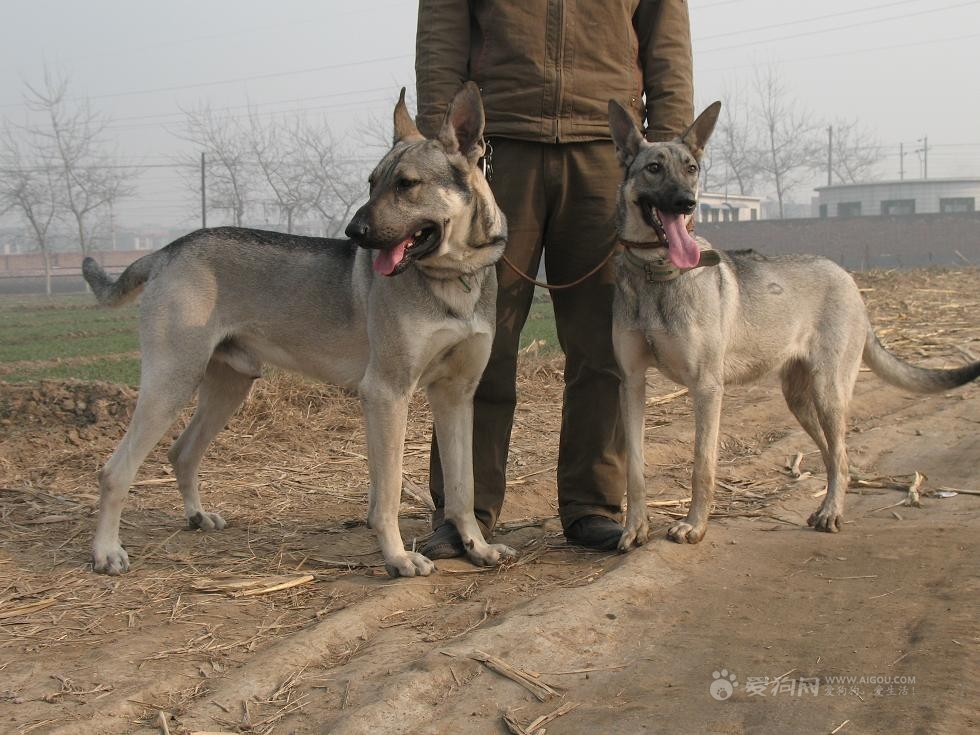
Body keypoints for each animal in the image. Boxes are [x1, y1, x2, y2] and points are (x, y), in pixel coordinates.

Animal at [80, 83, 516, 576]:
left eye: (406, 185)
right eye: (372, 183)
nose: (354, 231)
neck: (453, 280)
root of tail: (166, 250)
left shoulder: (456, 396)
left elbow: (463, 489)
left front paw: (477, 548)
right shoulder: (386, 393)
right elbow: (387, 492)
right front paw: (398, 557)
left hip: (228, 386)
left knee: (182, 452)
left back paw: (197, 516)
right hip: (171, 383)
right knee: (114, 472)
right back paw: (106, 551)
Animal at [608, 99, 976, 552]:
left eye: (691, 168)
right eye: (654, 168)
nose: (688, 203)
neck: (656, 275)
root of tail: (849, 279)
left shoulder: (707, 387)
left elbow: (702, 465)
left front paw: (694, 526)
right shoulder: (632, 383)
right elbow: (635, 470)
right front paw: (634, 527)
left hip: (828, 392)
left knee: (842, 455)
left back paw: (832, 512)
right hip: (799, 399)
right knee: (836, 457)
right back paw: (825, 507)